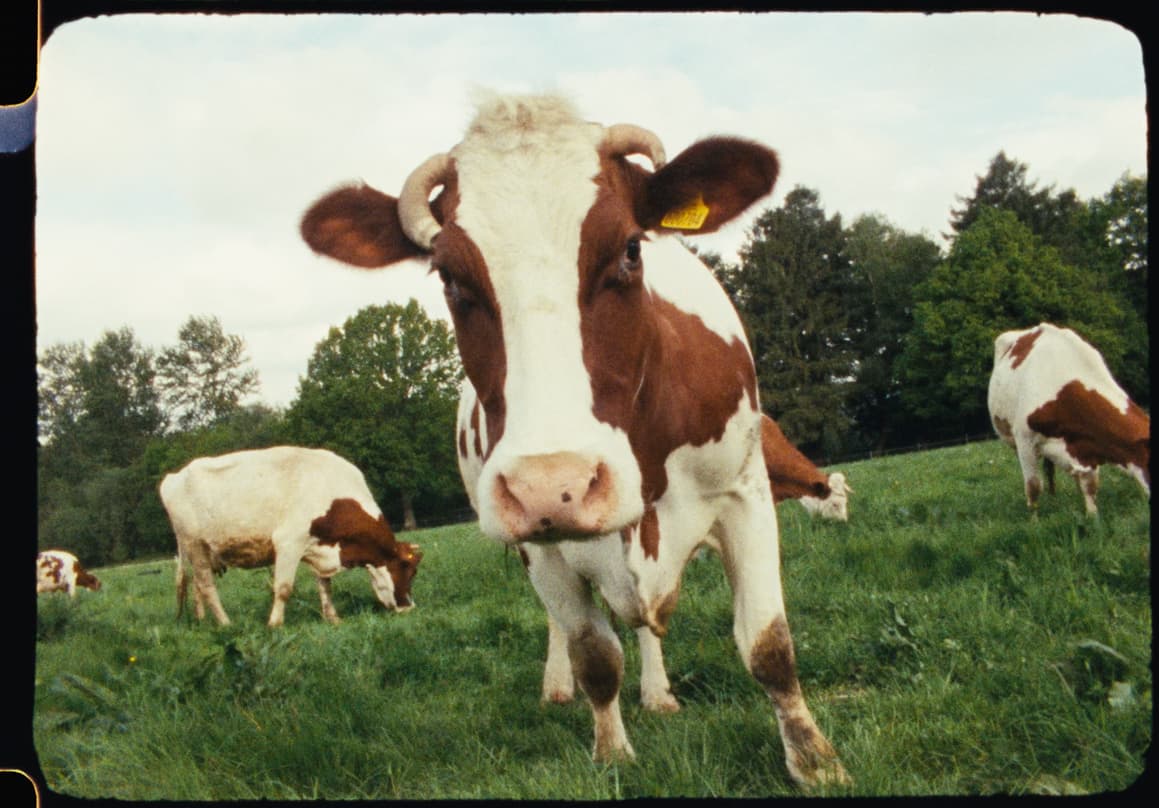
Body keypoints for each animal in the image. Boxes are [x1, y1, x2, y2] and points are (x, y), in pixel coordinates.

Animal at [159, 446, 422, 627]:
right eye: (406, 567)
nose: (409, 608)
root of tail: (174, 476)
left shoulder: (318, 546)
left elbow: (325, 585)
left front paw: (333, 618)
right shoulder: (289, 542)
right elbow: (284, 588)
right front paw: (275, 624)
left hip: (198, 551)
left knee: (196, 584)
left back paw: (202, 620)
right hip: (194, 543)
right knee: (206, 585)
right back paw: (225, 624)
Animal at [300, 92, 847, 787]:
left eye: (631, 250)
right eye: (450, 278)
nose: (551, 487)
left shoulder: (745, 493)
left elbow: (768, 644)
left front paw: (815, 761)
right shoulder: (544, 547)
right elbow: (594, 655)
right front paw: (610, 751)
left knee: (644, 625)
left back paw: (658, 692)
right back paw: (560, 686)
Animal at [987, 322, 1150, 514]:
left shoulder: (1086, 447)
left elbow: (1089, 484)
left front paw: (1092, 516)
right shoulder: (1024, 439)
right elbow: (1033, 486)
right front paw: (1034, 518)